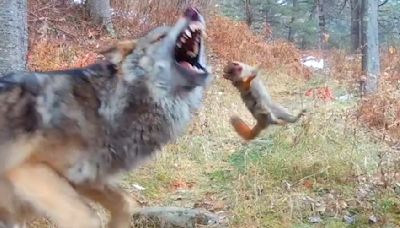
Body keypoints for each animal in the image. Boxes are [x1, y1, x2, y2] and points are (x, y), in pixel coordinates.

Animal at [0, 7, 211, 228]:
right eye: (160, 36)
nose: (192, 10)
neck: (108, 107)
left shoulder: (86, 177)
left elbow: (126, 203)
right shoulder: (26, 167)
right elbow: (87, 218)